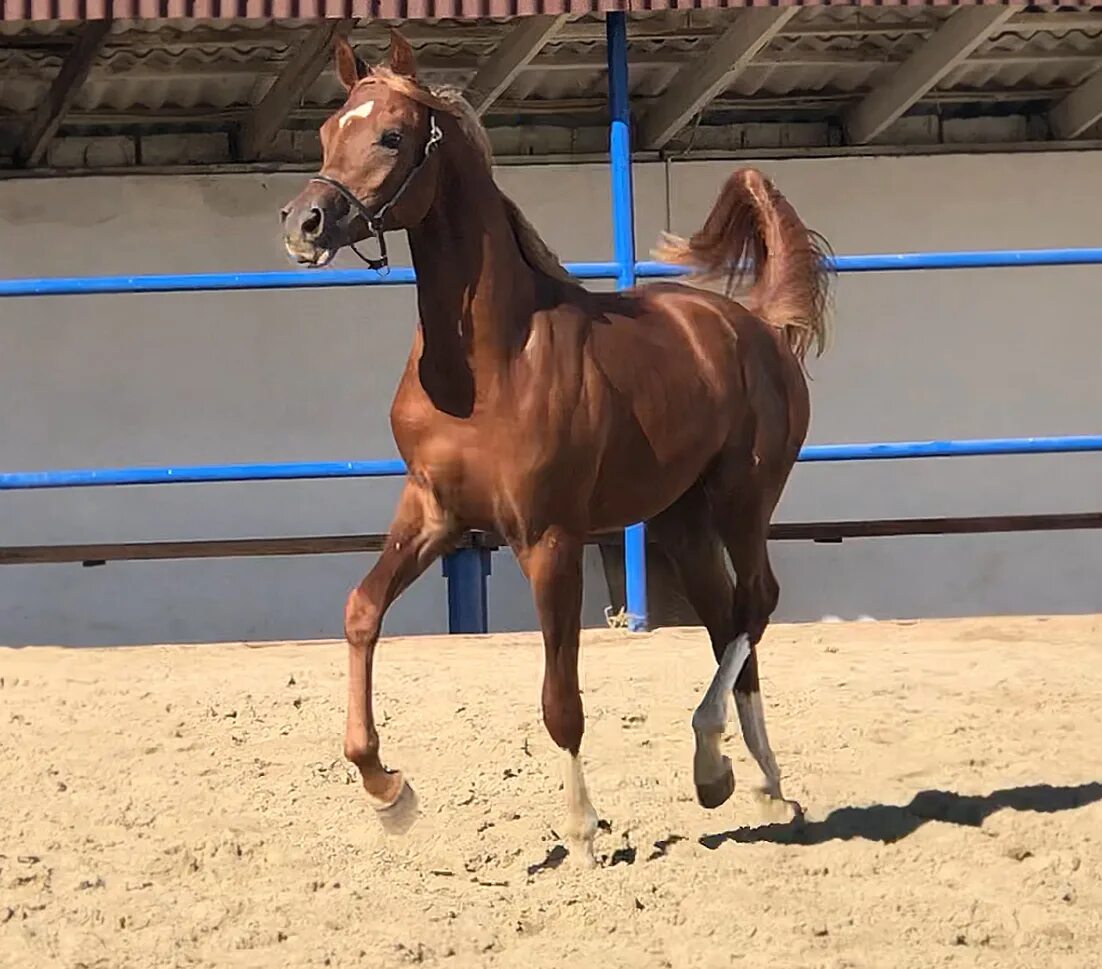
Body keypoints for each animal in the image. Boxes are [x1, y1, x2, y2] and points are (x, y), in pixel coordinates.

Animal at [279, 32, 828, 864]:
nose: (304, 222)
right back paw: (741, 777)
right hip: (682, 522)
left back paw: (733, 764)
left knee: (755, 602)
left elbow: (559, 696)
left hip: (744, 498)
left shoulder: (549, 538)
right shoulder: (433, 511)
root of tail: (758, 323)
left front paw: (581, 828)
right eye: (326, 129)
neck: (489, 362)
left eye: (392, 136)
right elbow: (361, 611)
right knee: (727, 618)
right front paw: (388, 791)